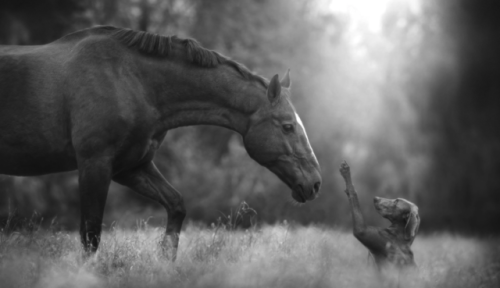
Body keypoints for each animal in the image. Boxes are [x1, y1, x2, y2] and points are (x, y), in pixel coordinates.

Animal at [0, 25, 320, 258]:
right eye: (288, 127)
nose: (315, 183)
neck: (132, 80)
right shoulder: (95, 165)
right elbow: (90, 236)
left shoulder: (130, 167)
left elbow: (176, 206)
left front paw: (165, 260)